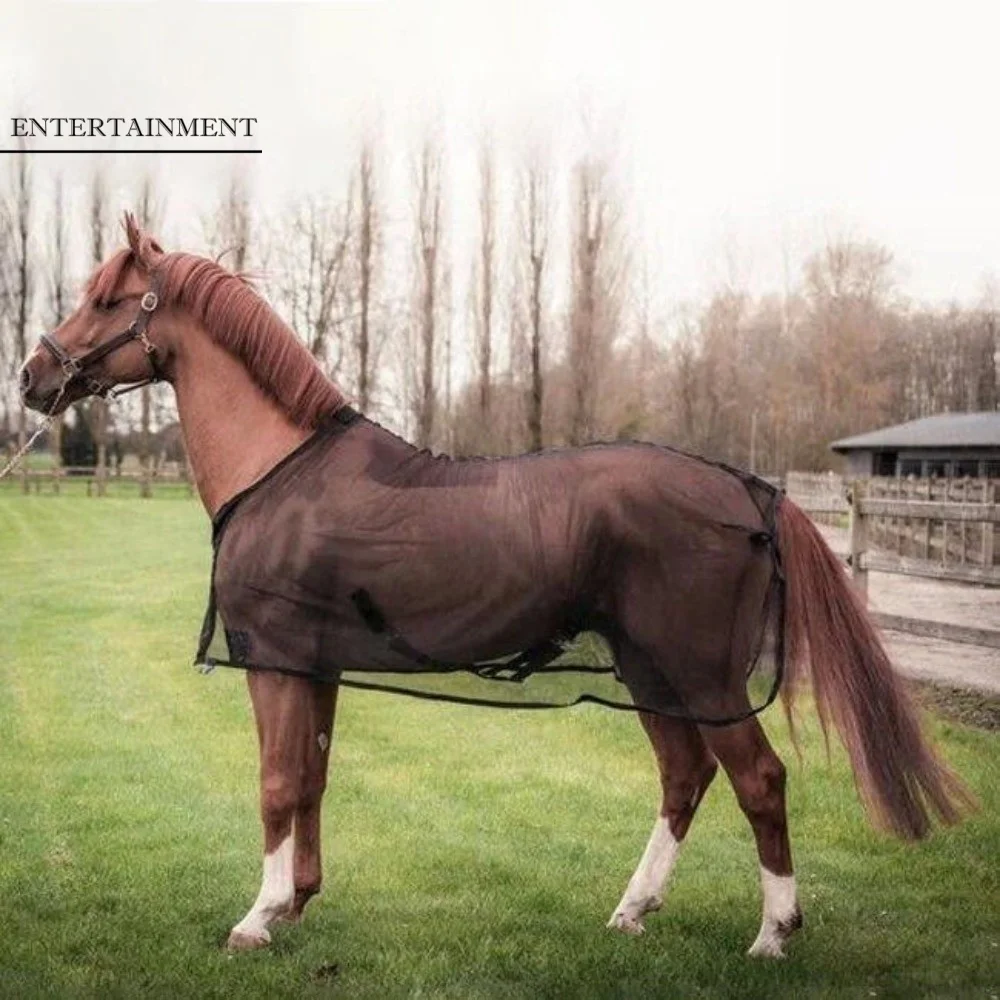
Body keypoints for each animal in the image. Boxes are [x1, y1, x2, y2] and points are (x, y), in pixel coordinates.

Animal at [20, 214, 972, 958]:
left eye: (107, 299)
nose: (34, 376)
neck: (280, 469)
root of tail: (746, 488)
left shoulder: (276, 662)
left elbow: (278, 784)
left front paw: (257, 918)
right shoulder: (315, 668)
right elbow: (313, 779)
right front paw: (296, 903)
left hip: (700, 674)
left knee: (760, 781)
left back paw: (772, 933)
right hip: (649, 671)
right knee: (685, 777)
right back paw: (632, 911)